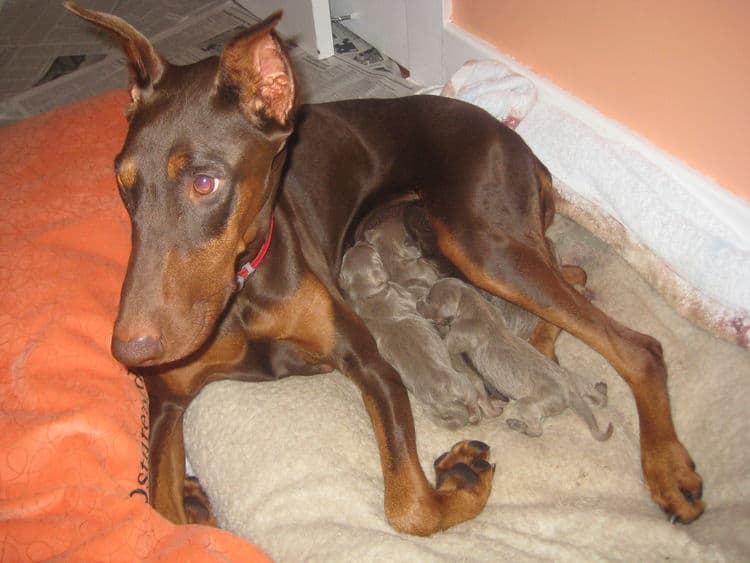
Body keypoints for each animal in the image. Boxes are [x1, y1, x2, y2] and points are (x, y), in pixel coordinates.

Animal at [420, 278, 612, 440]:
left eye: (429, 298)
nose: (418, 302)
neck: (477, 308)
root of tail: (569, 392)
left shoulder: (458, 336)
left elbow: (446, 343)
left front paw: (438, 326)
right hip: (573, 378)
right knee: (593, 392)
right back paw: (600, 391)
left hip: (529, 404)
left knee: (536, 431)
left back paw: (516, 425)